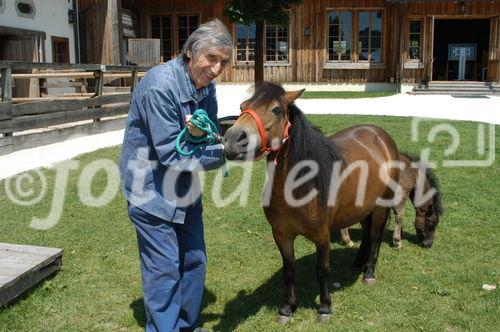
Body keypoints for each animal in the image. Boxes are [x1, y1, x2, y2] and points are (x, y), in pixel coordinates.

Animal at [225, 81, 400, 322]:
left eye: (277, 110)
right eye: (242, 107)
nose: (232, 140)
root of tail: (381, 136)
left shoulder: (322, 236)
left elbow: (323, 270)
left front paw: (325, 307)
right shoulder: (281, 235)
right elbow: (289, 271)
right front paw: (287, 308)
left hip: (381, 206)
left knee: (374, 236)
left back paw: (369, 272)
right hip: (364, 207)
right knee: (366, 233)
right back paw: (358, 263)